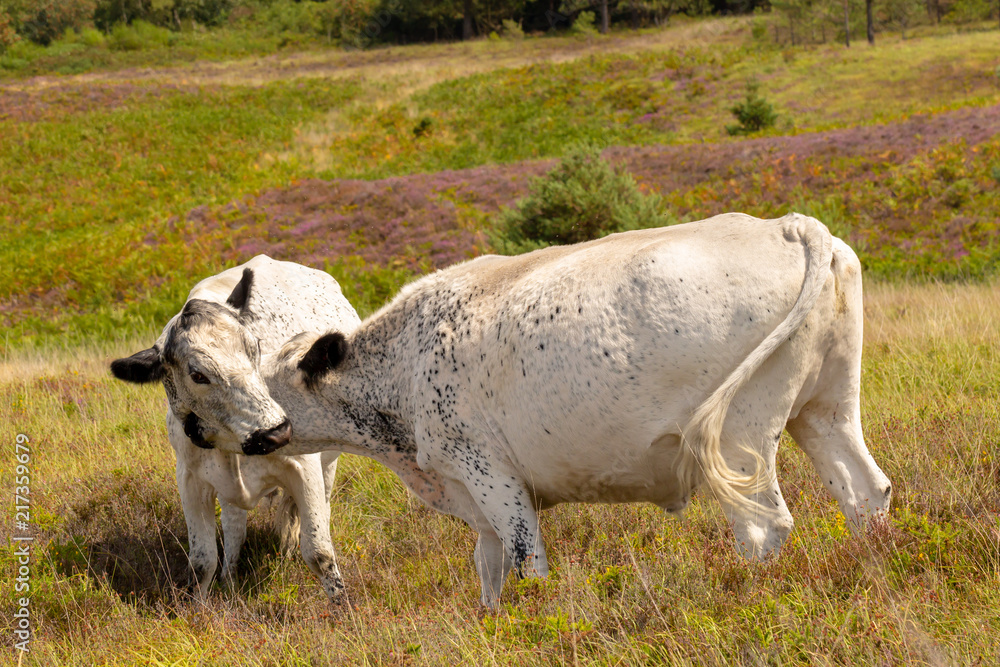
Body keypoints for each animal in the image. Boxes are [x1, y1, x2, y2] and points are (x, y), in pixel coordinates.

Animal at [111, 254, 362, 600]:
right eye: (197, 375)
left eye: (254, 348)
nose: (277, 432)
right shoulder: (191, 481)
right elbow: (201, 562)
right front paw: (199, 606)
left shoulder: (305, 468)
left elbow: (319, 552)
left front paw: (343, 608)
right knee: (234, 527)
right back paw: (230, 576)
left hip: (328, 465)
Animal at [180, 215, 892, 612]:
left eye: (263, 368)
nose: (266, 431)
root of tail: (785, 224)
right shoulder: (472, 494)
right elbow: (489, 569)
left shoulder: (491, 474)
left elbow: (526, 561)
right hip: (825, 411)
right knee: (865, 491)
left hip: (743, 435)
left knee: (764, 524)